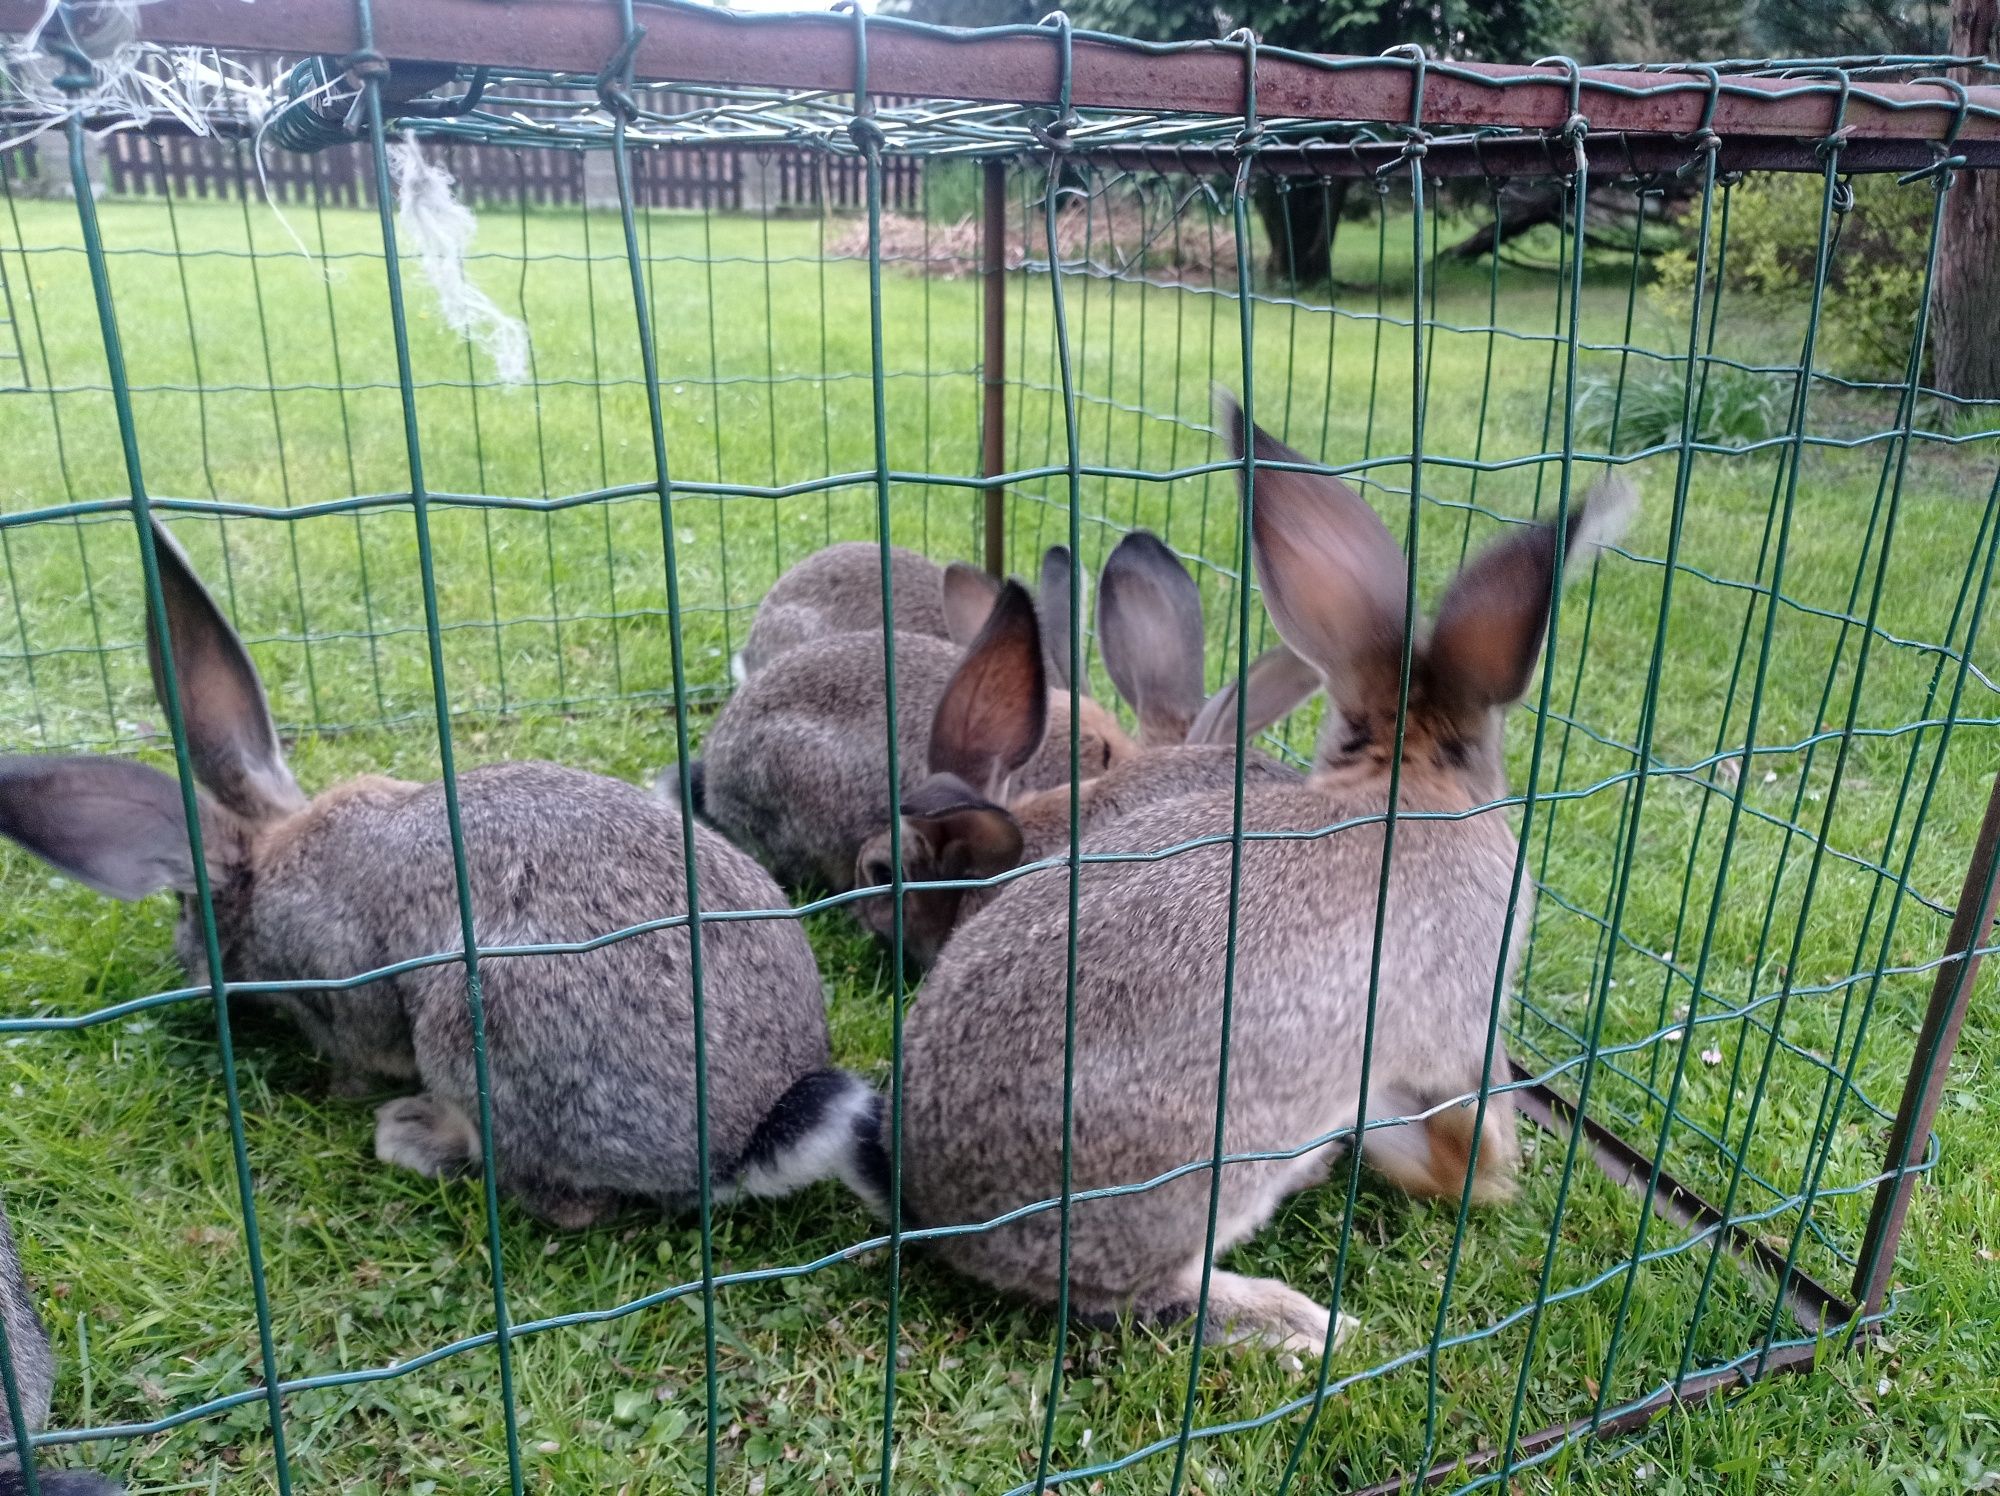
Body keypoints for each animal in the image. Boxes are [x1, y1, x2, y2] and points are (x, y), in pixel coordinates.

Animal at [0, 524, 868, 1224]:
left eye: (186, 917)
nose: (183, 963)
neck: (275, 857)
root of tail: (750, 1134)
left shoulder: (341, 982)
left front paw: (350, 1090)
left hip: (474, 1031)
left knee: (563, 1202)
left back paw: (410, 1135)